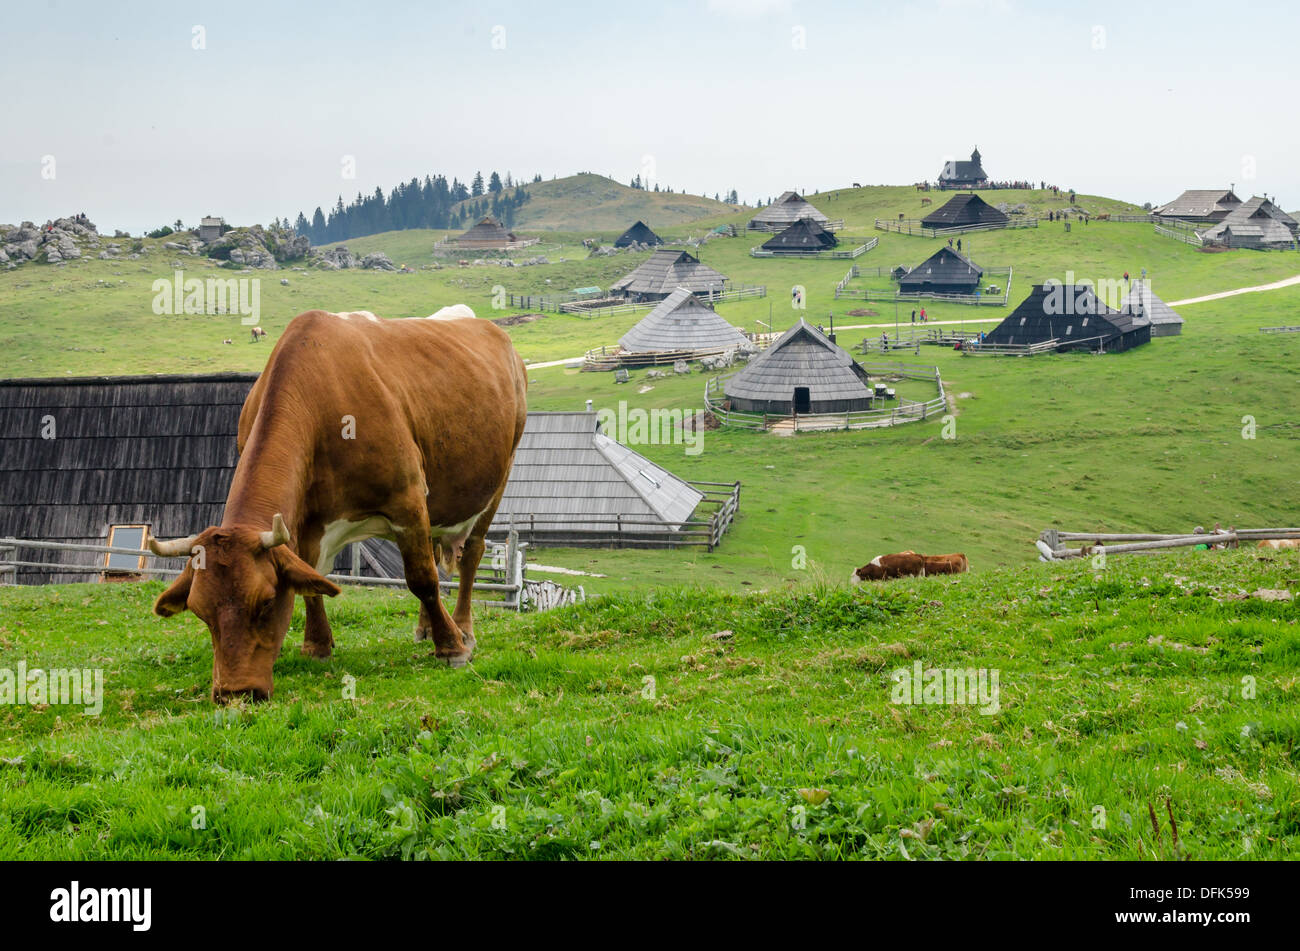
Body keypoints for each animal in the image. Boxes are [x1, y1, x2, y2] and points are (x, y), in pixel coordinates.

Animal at [146, 307, 522, 701]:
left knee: (470, 555)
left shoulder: (407, 499)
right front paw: (317, 645)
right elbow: (310, 580)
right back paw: (425, 628)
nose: (235, 693)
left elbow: (422, 578)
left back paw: (463, 628)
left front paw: (451, 647)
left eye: (265, 602)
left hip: (499, 475)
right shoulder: (307, 520)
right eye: (200, 612)